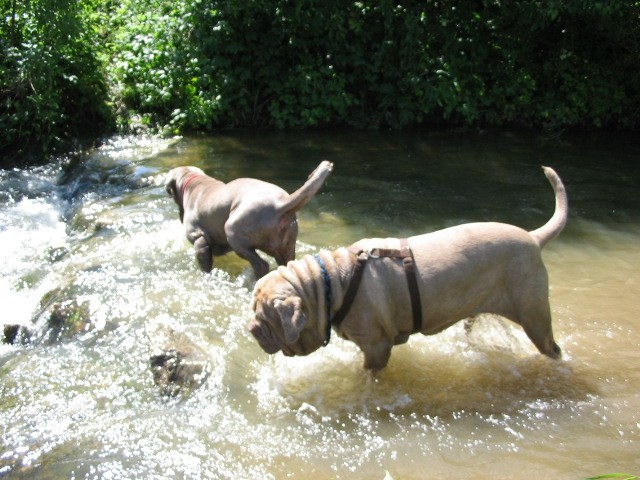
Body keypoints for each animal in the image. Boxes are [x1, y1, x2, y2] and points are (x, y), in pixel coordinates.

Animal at [165, 160, 332, 278]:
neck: (194, 182)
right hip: (286, 245)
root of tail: (282, 204)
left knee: (261, 265)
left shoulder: (199, 240)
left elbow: (205, 265)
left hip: (233, 231)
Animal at [248, 167, 568, 370]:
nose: (251, 329)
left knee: (553, 349)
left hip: (534, 316)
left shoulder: (377, 347)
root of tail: (534, 238)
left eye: (265, 317)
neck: (331, 284)